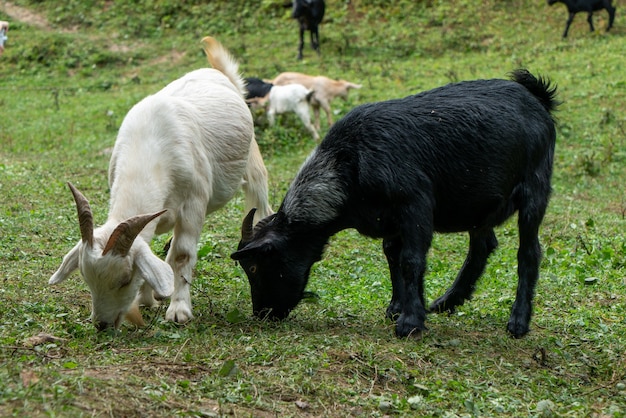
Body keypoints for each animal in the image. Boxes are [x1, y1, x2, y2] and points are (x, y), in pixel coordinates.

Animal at [47, 36, 272, 330]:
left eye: (124, 279)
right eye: (86, 278)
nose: (102, 324)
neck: (149, 147)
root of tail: (221, 74)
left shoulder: (193, 204)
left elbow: (182, 254)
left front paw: (179, 310)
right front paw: (147, 298)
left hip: (254, 165)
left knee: (260, 202)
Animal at [232, 69, 560, 340]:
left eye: (255, 266)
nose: (262, 314)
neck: (349, 162)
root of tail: (536, 98)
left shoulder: (414, 205)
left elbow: (411, 260)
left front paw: (410, 322)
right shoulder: (389, 219)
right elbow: (392, 255)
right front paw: (398, 308)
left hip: (534, 190)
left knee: (528, 253)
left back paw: (518, 322)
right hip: (480, 205)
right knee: (482, 246)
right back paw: (447, 301)